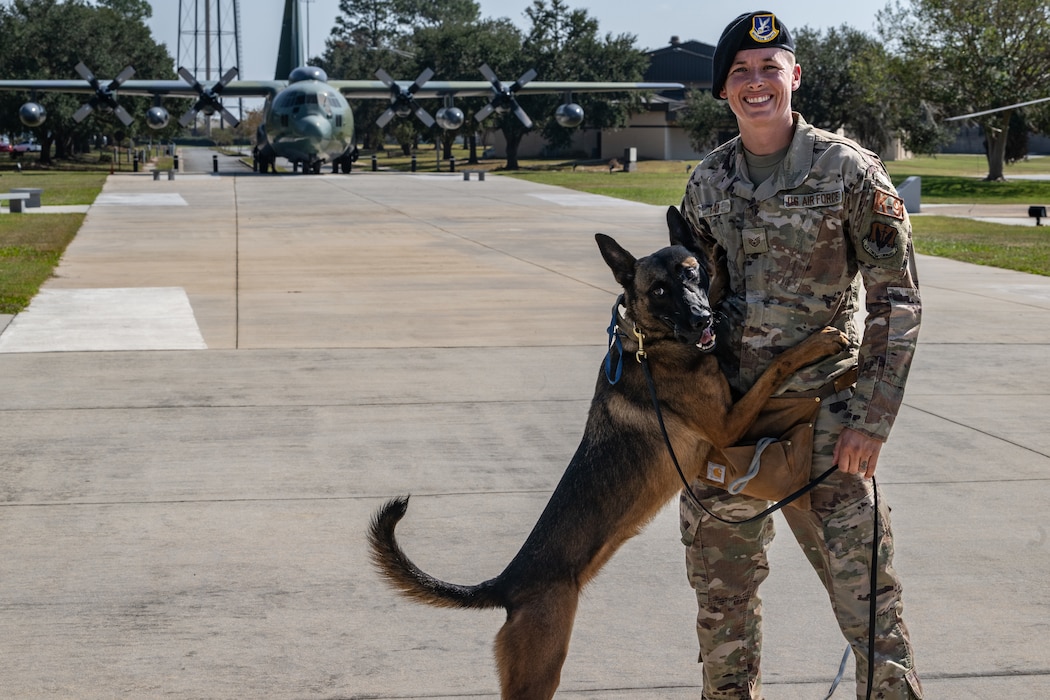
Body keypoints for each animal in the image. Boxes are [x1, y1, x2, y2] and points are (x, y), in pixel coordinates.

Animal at [365, 206, 848, 700]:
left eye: (692, 274)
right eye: (659, 290)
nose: (701, 319)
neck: (653, 343)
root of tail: (507, 584)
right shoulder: (729, 424)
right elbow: (777, 367)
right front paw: (821, 347)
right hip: (541, 668)